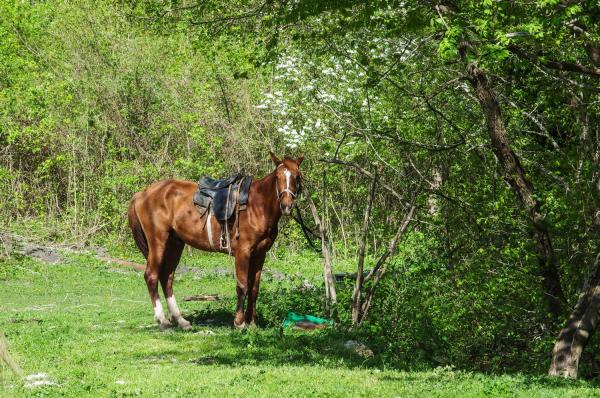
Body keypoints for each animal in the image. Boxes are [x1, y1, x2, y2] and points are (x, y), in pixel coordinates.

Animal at [127, 152, 304, 330]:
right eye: (277, 176)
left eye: (297, 176)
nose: (287, 205)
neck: (257, 207)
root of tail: (142, 194)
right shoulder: (243, 253)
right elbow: (242, 286)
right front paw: (239, 323)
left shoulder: (260, 255)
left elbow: (254, 288)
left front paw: (252, 323)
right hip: (158, 241)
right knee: (151, 276)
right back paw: (163, 321)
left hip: (175, 244)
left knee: (167, 278)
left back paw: (181, 321)